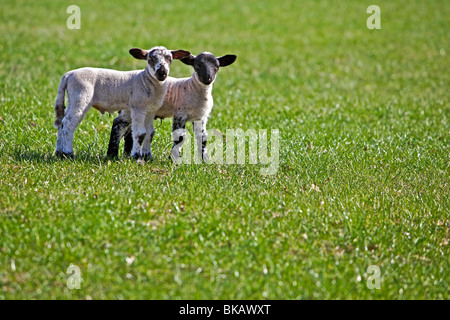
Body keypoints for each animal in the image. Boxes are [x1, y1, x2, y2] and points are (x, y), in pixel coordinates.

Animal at [53, 45, 191, 160]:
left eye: (169, 59)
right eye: (150, 59)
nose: (162, 73)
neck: (145, 80)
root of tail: (69, 74)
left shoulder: (151, 111)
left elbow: (150, 133)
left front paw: (148, 156)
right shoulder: (138, 108)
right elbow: (140, 133)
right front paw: (136, 156)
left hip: (72, 99)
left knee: (61, 122)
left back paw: (59, 152)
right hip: (80, 98)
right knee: (69, 124)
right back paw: (68, 153)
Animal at [107, 52, 237, 162]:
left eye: (216, 66)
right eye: (197, 65)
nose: (207, 78)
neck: (193, 89)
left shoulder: (201, 117)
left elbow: (202, 138)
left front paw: (204, 159)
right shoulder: (180, 114)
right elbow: (180, 137)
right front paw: (175, 159)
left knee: (129, 131)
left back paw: (126, 154)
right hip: (131, 108)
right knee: (118, 124)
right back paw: (112, 155)